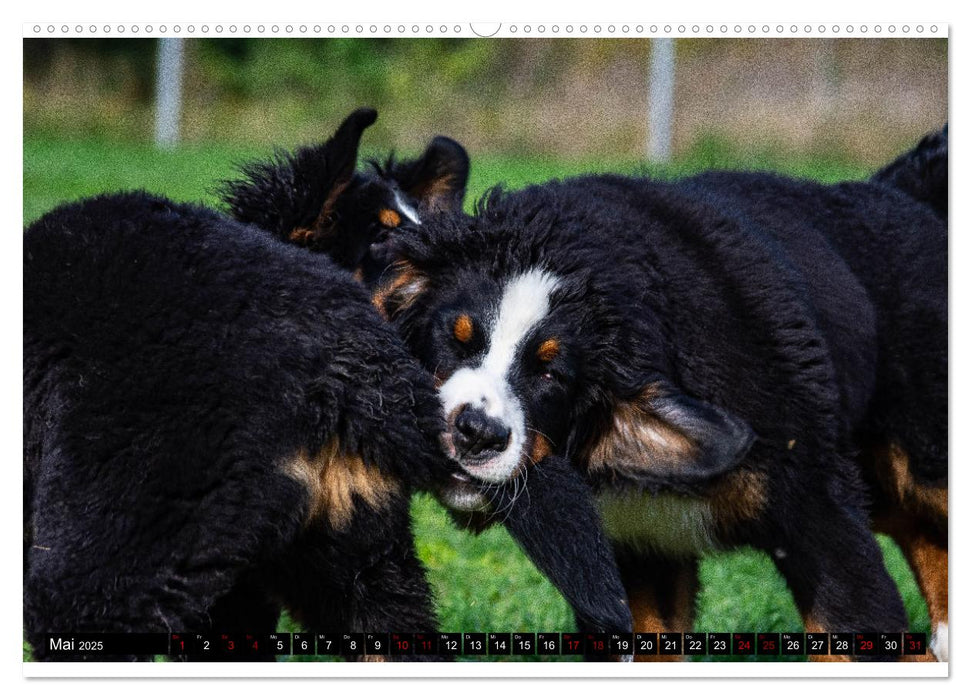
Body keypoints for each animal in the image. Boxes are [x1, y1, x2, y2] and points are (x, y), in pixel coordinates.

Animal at [374, 130, 948, 660]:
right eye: (455, 338)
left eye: (551, 375)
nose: (476, 433)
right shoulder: (637, 554)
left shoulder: (820, 516)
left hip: (922, 459)